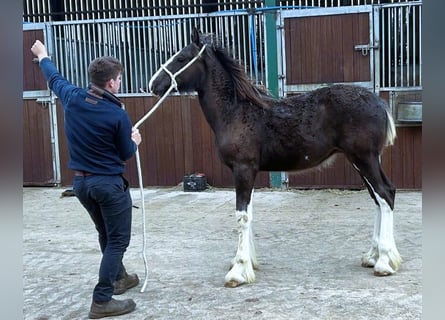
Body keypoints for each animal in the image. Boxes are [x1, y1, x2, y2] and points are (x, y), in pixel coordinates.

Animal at [147, 27, 400, 288]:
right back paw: (373, 256)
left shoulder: (243, 169)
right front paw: (249, 262)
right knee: (379, 197)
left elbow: (242, 216)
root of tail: (378, 103)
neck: (236, 111)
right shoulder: (248, 172)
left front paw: (238, 271)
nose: (153, 84)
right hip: (362, 161)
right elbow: (249, 214)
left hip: (364, 159)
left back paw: (384, 263)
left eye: (181, 58)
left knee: (385, 194)